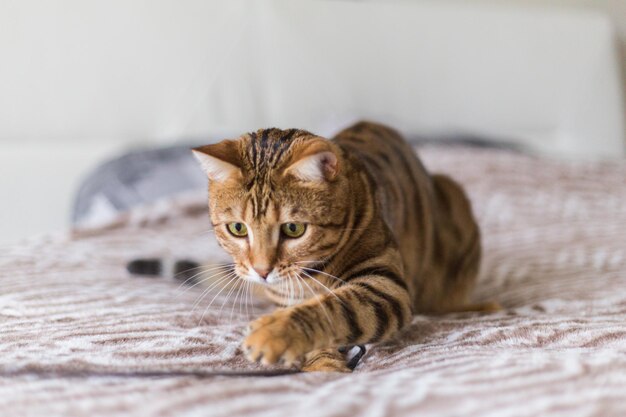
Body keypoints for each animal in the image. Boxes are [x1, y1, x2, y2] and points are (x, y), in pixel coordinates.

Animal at [188, 120, 500, 370]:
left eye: (293, 229)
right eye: (238, 228)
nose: (261, 271)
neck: (310, 277)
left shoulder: (386, 285)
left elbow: (336, 306)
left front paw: (275, 332)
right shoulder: (284, 296)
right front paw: (322, 364)